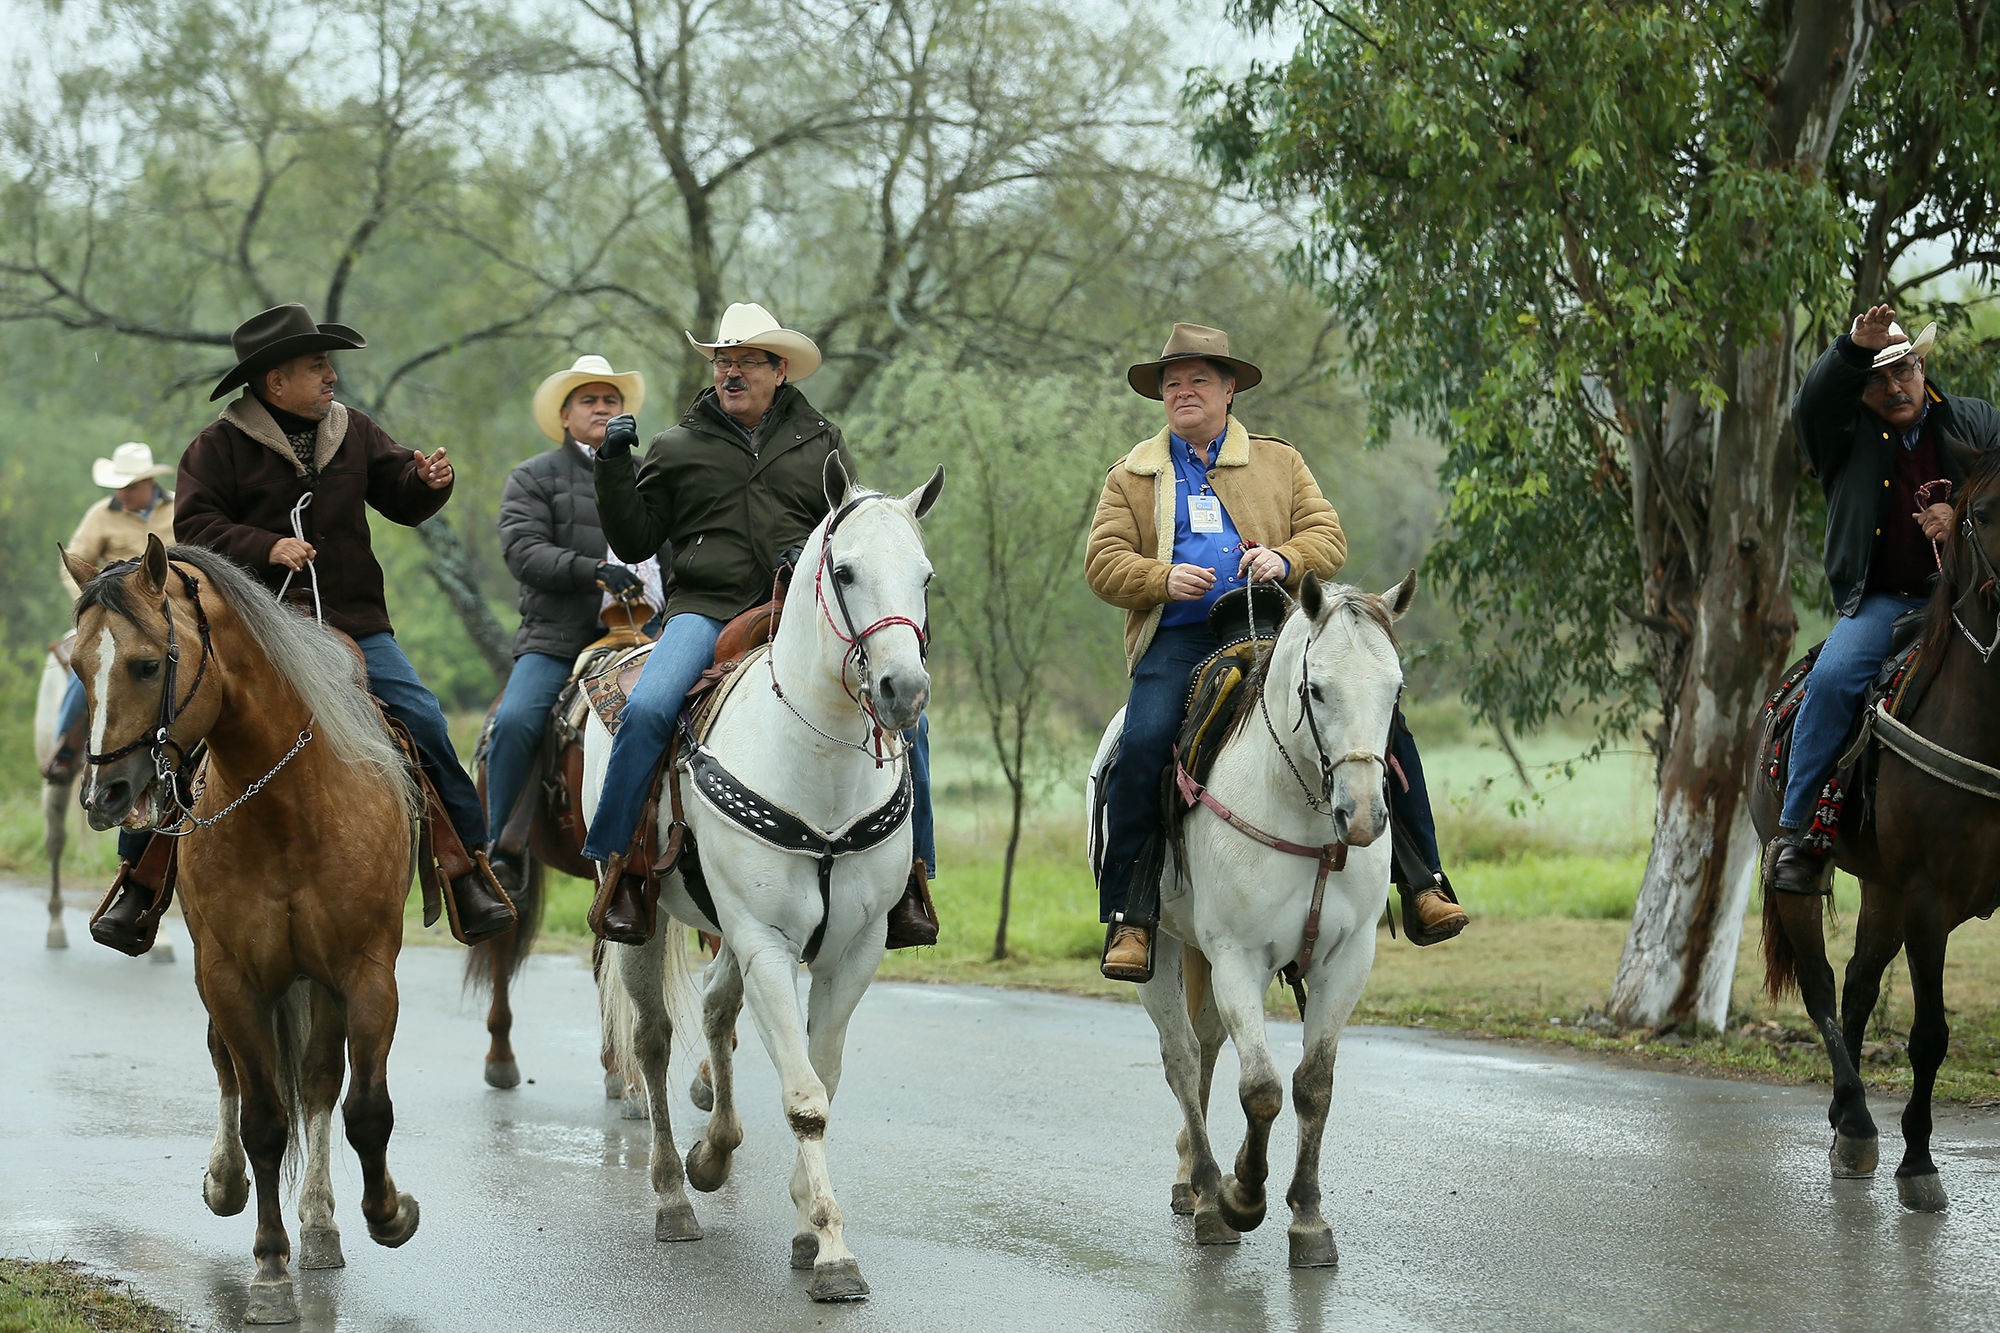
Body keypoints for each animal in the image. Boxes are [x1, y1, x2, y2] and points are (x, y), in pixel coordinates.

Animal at [65, 536, 422, 1312]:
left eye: (146, 664)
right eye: (77, 665)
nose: (103, 795)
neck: (287, 803)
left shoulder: (366, 972)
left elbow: (364, 1107)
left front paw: (388, 1215)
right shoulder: (230, 976)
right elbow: (261, 1118)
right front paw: (268, 1268)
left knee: (318, 1081)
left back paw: (321, 1222)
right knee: (231, 1070)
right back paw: (228, 1182)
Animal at [584, 454, 944, 1296]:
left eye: (925, 576)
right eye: (845, 571)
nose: (904, 691)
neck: (820, 765)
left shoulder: (853, 949)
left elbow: (822, 1074)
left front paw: (807, 1223)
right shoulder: (768, 942)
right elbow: (806, 1096)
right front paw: (835, 1251)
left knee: (717, 1015)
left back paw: (713, 1152)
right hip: (647, 922)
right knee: (653, 1040)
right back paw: (673, 1195)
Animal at [1096, 572, 1408, 1264]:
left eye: (1396, 688)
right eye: (1316, 689)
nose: (1364, 816)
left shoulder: (1348, 959)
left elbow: (1313, 1084)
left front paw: (1309, 1218)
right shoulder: (1239, 957)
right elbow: (1261, 1088)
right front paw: (1243, 1196)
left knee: (1208, 1046)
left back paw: (1192, 1178)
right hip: (1162, 950)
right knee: (1183, 1058)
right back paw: (1210, 1194)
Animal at [1760, 438, 2000, 1216]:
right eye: (1986, 511)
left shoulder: (1908, 895)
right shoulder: (1927, 902)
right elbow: (1929, 1035)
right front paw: (1918, 1161)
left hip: (1882, 889)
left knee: (1860, 986)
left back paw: (1847, 1112)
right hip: (1800, 872)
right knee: (1821, 985)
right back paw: (1861, 1125)